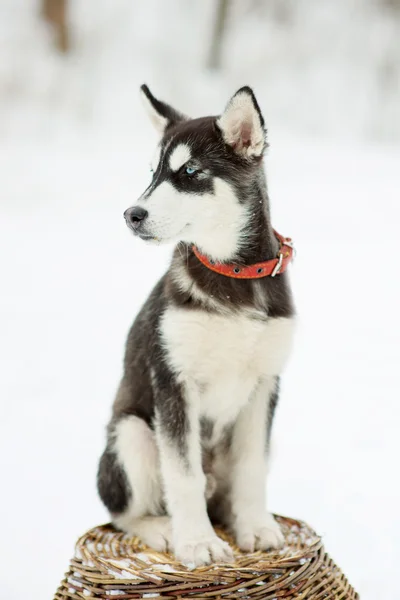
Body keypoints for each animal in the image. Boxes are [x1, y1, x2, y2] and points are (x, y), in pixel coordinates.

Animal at [98, 84, 296, 568]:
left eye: (190, 171)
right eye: (152, 173)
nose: (132, 214)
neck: (231, 274)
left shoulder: (265, 383)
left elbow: (251, 467)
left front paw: (256, 526)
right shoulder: (174, 380)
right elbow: (184, 474)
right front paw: (197, 543)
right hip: (131, 433)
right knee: (121, 513)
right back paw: (160, 529)